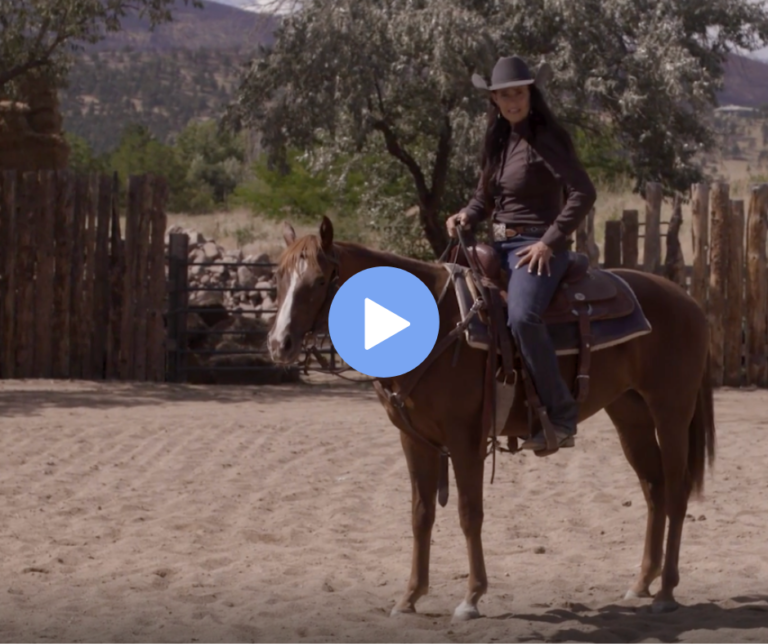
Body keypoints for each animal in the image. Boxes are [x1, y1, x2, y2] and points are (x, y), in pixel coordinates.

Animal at [266, 215, 715, 620]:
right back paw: (642, 582)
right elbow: (421, 515)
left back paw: (666, 592)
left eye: (318, 281)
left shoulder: (465, 438)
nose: (278, 344)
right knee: (654, 489)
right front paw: (410, 597)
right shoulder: (414, 439)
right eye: (279, 278)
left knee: (676, 492)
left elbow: (469, 513)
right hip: (629, 414)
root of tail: (688, 300)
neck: (438, 327)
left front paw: (471, 597)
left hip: (671, 411)